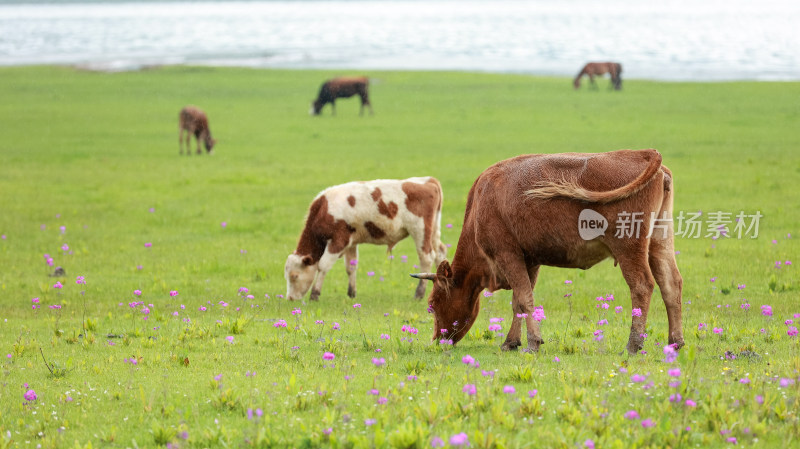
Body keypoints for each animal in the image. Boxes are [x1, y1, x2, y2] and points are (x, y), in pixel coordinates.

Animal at [286, 176, 450, 300]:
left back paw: (419, 294)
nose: (290, 298)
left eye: (294, 276)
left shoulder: (338, 240)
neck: (324, 209)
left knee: (426, 257)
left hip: (420, 230)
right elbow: (351, 267)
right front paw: (351, 293)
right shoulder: (350, 242)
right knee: (440, 253)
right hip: (433, 231)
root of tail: (428, 180)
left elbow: (323, 266)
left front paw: (315, 294)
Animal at [416, 149, 684, 356]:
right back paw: (675, 342)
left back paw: (632, 345)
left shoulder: (508, 254)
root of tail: (643, 153)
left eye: (432, 303)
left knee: (642, 286)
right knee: (671, 284)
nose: (438, 339)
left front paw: (532, 344)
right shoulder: (530, 260)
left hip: (629, 248)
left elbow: (524, 299)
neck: (482, 200)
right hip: (660, 242)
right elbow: (519, 301)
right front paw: (511, 342)